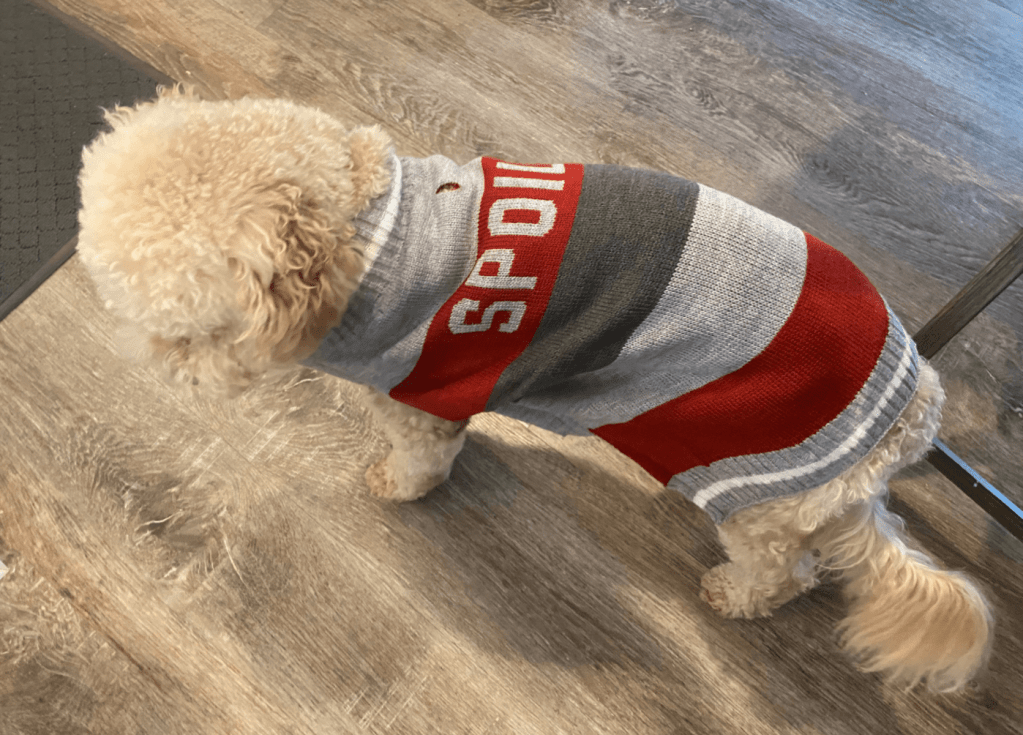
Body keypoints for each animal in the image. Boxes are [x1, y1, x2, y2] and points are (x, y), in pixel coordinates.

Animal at [77, 86, 993, 692]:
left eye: (183, 330)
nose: (168, 372)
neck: (367, 224)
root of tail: (911, 408)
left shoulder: (426, 391)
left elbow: (419, 458)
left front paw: (397, 485)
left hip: (754, 485)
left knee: (785, 569)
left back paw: (735, 593)